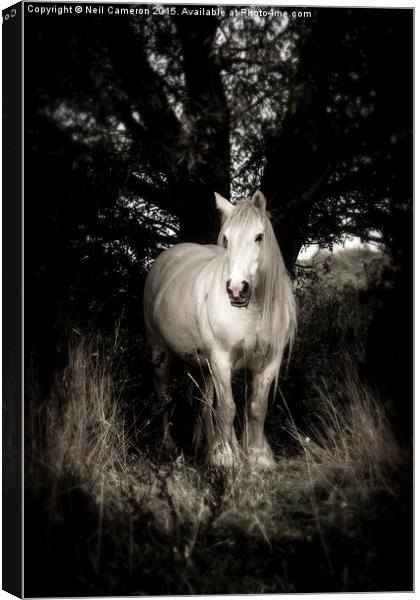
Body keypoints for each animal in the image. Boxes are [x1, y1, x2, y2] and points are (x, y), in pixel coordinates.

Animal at [144, 192, 296, 468]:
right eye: (226, 238)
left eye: (259, 237)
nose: (236, 289)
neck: (252, 310)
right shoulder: (222, 360)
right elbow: (227, 408)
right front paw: (228, 458)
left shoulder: (269, 362)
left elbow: (256, 408)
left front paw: (257, 458)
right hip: (160, 352)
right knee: (163, 397)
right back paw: (169, 446)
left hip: (203, 365)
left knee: (203, 403)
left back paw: (204, 447)